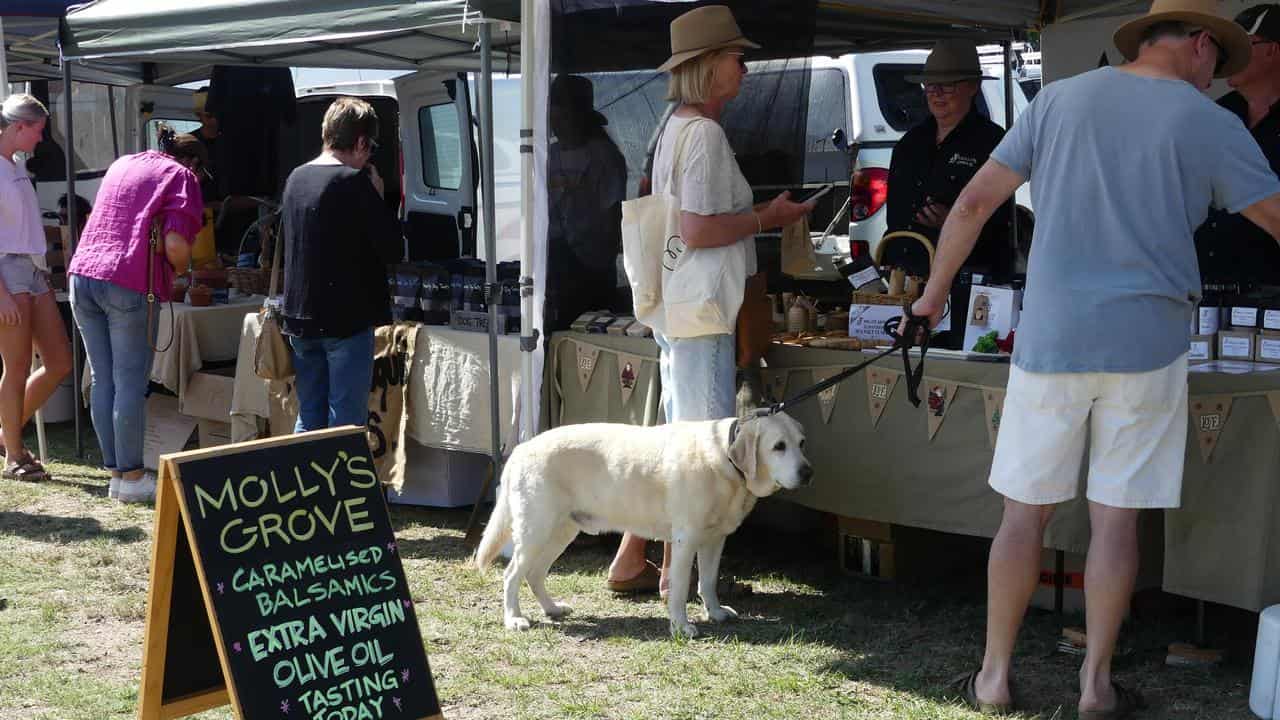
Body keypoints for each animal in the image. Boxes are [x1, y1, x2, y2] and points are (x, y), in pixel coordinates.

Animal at [476, 412, 814, 635]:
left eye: (801, 442)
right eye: (779, 446)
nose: (808, 473)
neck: (726, 461)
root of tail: (522, 448)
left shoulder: (714, 540)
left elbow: (707, 582)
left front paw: (715, 612)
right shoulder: (686, 540)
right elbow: (679, 589)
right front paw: (681, 626)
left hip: (561, 531)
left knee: (534, 573)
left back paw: (552, 609)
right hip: (537, 530)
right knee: (511, 574)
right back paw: (514, 618)